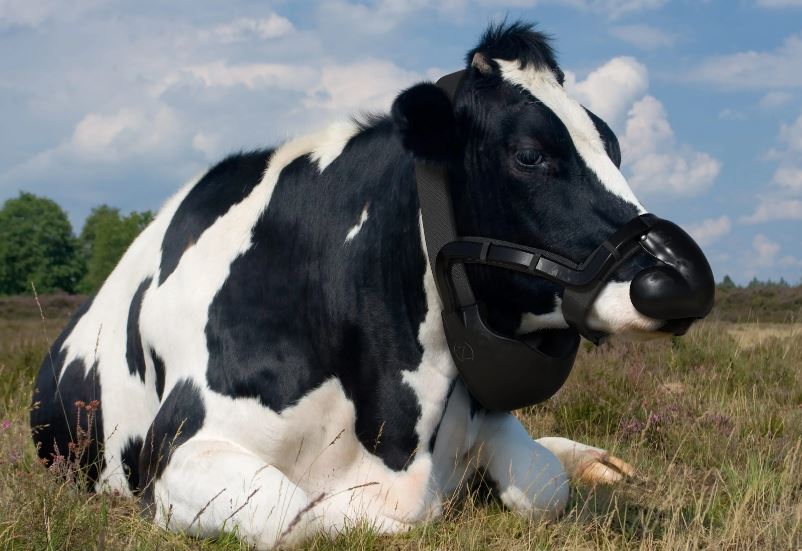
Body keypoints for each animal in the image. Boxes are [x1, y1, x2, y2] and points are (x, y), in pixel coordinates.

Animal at [31, 21, 714, 548]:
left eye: (615, 148)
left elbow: (545, 484)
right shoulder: (180, 449)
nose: (682, 278)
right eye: (530, 154)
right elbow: (304, 514)